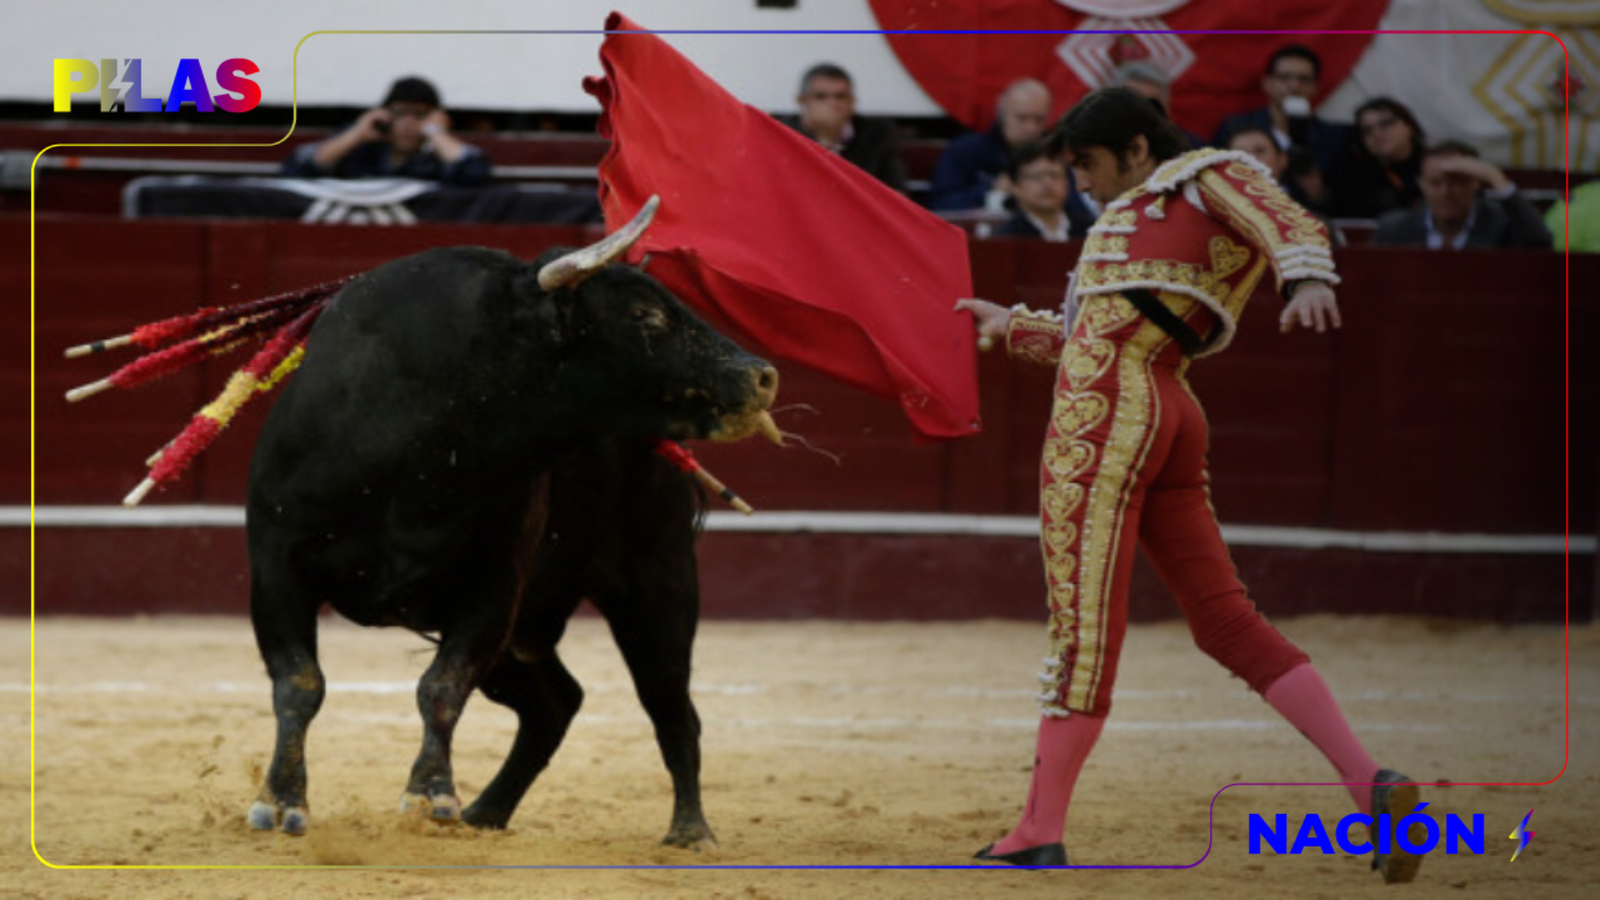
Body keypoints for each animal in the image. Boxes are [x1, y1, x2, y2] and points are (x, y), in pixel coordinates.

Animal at [240, 204, 777, 845]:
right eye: (642, 314)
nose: (762, 376)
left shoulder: (492, 587)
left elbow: (441, 687)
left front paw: (430, 796)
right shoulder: (278, 567)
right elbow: (300, 682)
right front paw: (281, 801)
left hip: (656, 581)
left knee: (669, 704)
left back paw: (689, 830)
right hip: (532, 631)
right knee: (556, 703)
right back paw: (487, 812)